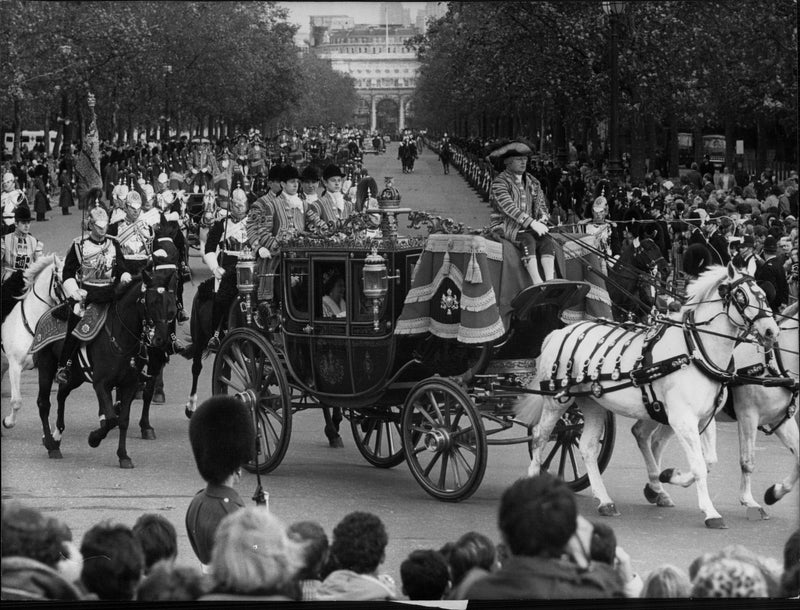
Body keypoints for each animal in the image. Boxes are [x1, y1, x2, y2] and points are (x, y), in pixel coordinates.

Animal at [0, 252, 64, 428]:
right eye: (60, 280)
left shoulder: (45, 366)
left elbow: (46, 401)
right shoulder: (15, 366)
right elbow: (16, 401)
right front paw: (8, 422)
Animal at [34, 274, 177, 468]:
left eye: (170, 304)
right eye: (152, 302)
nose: (161, 339)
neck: (120, 336)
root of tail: (46, 314)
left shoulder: (130, 384)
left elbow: (123, 420)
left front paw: (123, 456)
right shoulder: (101, 384)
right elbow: (110, 419)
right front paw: (94, 439)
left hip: (76, 376)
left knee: (61, 395)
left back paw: (57, 437)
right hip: (46, 366)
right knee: (44, 403)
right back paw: (50, 444)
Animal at [516, 264, 780, 528]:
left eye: (764, 294)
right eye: (742, 296)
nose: (771, 331)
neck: (694, 351)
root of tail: (560, 331)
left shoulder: (705, 418)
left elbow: (708, 462)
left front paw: (669, 476)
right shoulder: (683, 420)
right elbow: (698, 466)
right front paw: (710, 511)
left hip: (592, 403)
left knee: (588, 447)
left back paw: (605, 501)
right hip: (556, 400)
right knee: (540, 437)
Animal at [636, 300, 800, 516]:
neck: (771, 364)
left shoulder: (781, 419)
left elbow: (799, 458)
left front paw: (775, 492)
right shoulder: (748, 415)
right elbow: (747, 461)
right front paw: (749, 500)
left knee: (653, 440)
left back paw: (656, 489)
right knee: (642, 435)